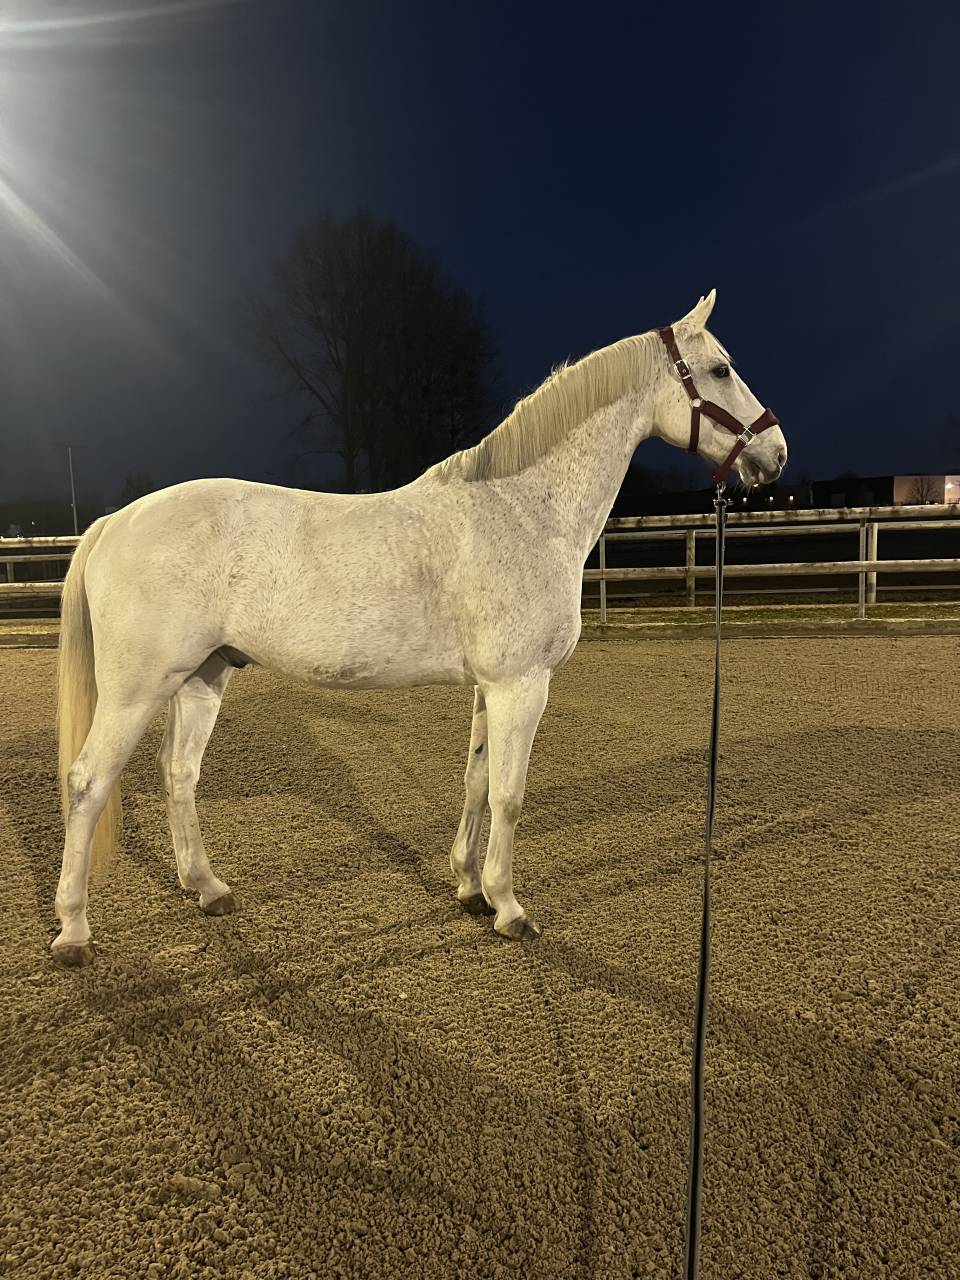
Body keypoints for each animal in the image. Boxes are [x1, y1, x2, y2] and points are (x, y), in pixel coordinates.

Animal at [51, 289, 787, 967]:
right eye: (720, 369)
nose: (775, 455)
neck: (523, 511)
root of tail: (115, 520)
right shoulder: (523, 684)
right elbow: (511, 795)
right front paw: (510, 907)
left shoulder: (492, 686)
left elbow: (477, 782)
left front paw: (469, 887)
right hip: (137, 689)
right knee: (87, 781)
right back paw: (74, 931)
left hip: (204, 675)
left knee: (179, 773)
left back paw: (206, 888)